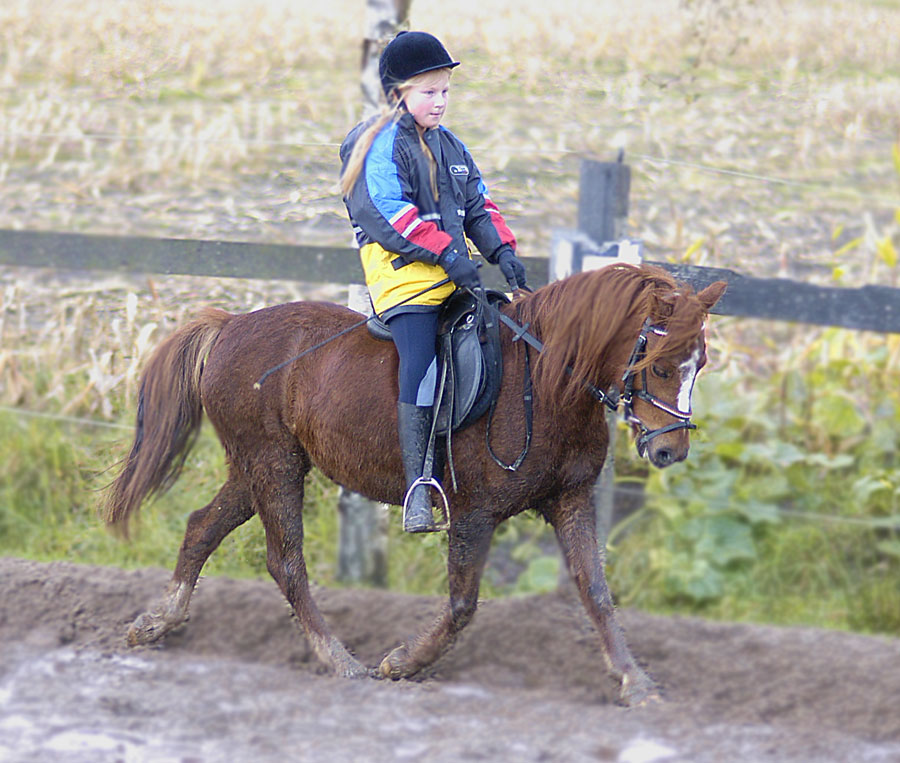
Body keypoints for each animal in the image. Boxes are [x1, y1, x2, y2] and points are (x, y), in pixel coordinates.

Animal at [103, 262, 724, 704]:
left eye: (701, 364)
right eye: (660, 365)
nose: (669, 450)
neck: (545, 384)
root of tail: (231, 324)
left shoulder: (569, 499)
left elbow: (595, 591)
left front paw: (636, 681)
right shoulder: (474, 513)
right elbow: (463, 603)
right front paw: (402, 662)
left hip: (258, 465)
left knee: (201, 527)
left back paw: (157, 622)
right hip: (272, 463)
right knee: (286, 561)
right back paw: (340, 661)